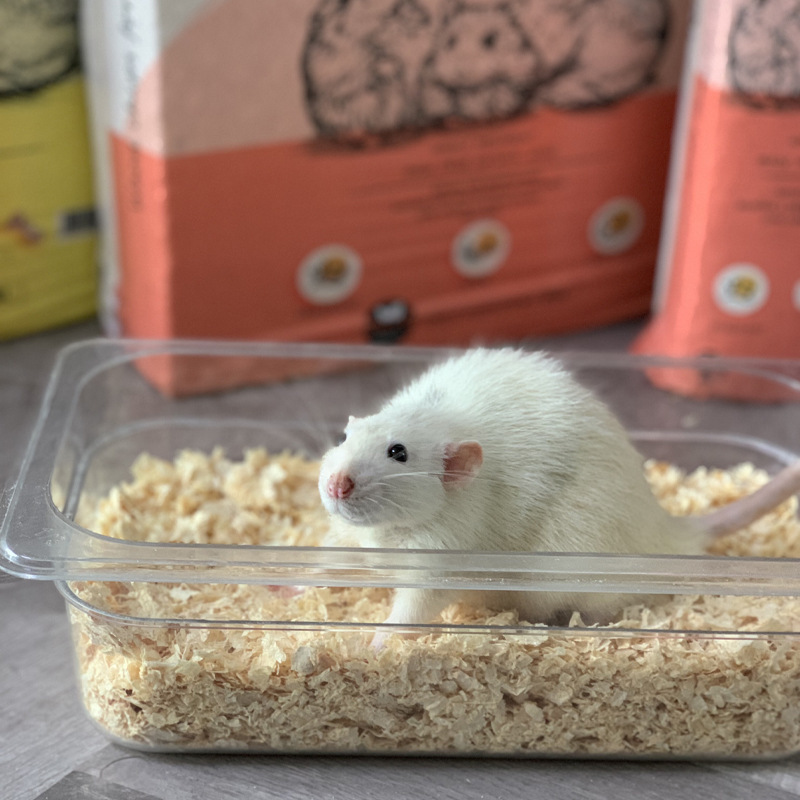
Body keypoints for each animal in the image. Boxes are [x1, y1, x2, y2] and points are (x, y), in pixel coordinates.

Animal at [318, 348, 800, 642]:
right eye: (344, 436)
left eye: (398, 453)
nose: (337, 483)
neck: (387, 533)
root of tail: (660, 532)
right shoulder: (349, 535)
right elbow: (333, 553)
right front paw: (303, 584)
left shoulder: (442, 551)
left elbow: (419, 602)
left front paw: (379, 639)